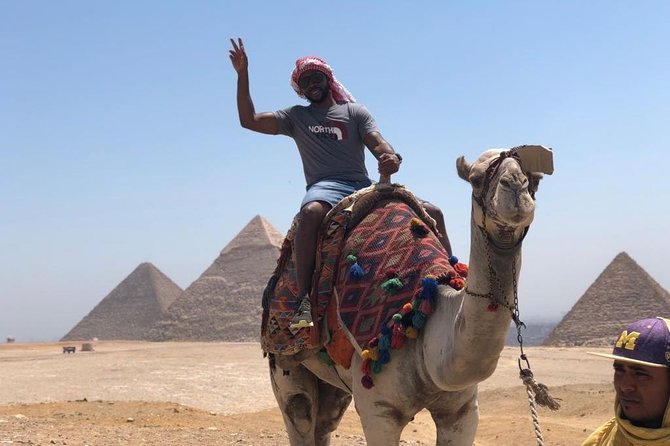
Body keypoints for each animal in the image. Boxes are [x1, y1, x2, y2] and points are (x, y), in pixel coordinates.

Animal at [266, 146, 552, 445]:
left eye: (535, 179)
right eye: (475, 179)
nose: (515, 188)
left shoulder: (462, 411)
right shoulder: (379, 410)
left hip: (335, 383)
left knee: (325, 423)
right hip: (285, 363)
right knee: (300, 413)